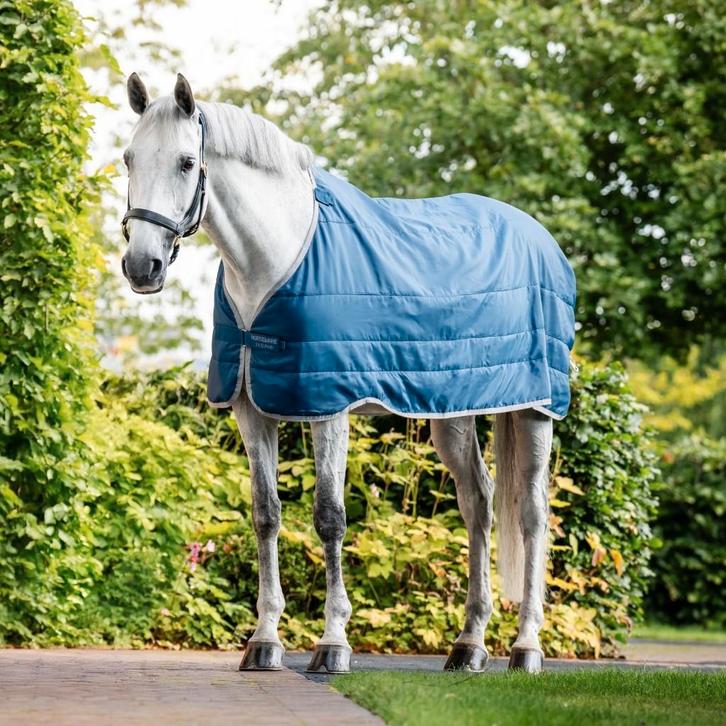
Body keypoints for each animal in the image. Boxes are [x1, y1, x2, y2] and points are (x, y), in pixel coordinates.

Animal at [120, 72, 575, 674]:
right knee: (478, 503)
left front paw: (333, 643)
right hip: (452, 411)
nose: (141, 266)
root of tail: (542, 239)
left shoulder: (328, 406)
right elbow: (266, 515)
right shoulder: (250, 407)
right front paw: (264, 641)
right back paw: (468, 646)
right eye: (128, 159)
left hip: (534, 408)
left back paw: (525, 648)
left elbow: (329, 517)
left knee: (531, 515)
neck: (274, 258)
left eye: (187, 162)